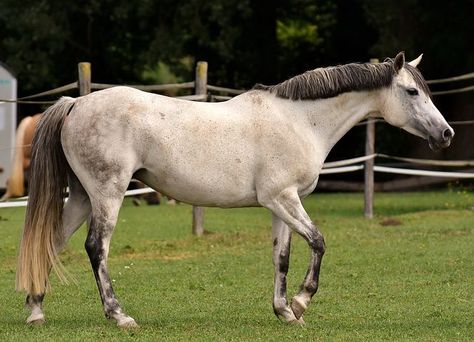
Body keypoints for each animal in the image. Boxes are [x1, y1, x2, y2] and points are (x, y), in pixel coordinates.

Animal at [15, 52, 452, 328]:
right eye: (412, 92)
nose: (446, 133)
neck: (300, 121)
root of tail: (76, 104)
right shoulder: (284, 198)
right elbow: (318, 242)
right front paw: (301, 301)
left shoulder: (280, 204)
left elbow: (281, 257)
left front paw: (284, 312)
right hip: (107, 195)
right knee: (96, 248)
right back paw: (119, 315)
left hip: (82, 197)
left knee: (51, 242)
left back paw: (36, 311)